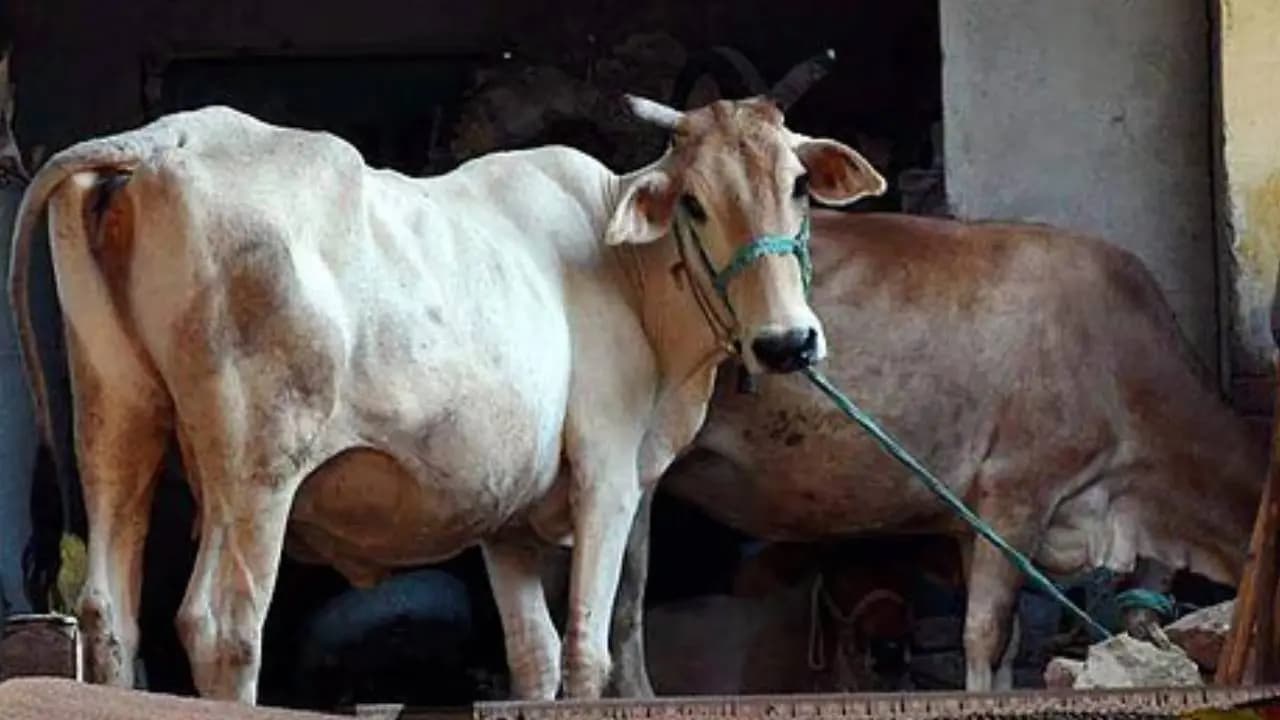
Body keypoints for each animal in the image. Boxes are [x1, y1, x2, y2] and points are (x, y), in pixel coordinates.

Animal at [7, 83, 885, 702]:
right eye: (695, 202)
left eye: (799, 185)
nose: (788, 342)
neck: (623, 266)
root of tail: (166, 138)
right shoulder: (606, 472)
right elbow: (587, 652)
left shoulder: (507, 519)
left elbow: (533, 658)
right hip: (256, 466)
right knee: (224, 626)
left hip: (115, 422)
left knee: (109, 616)